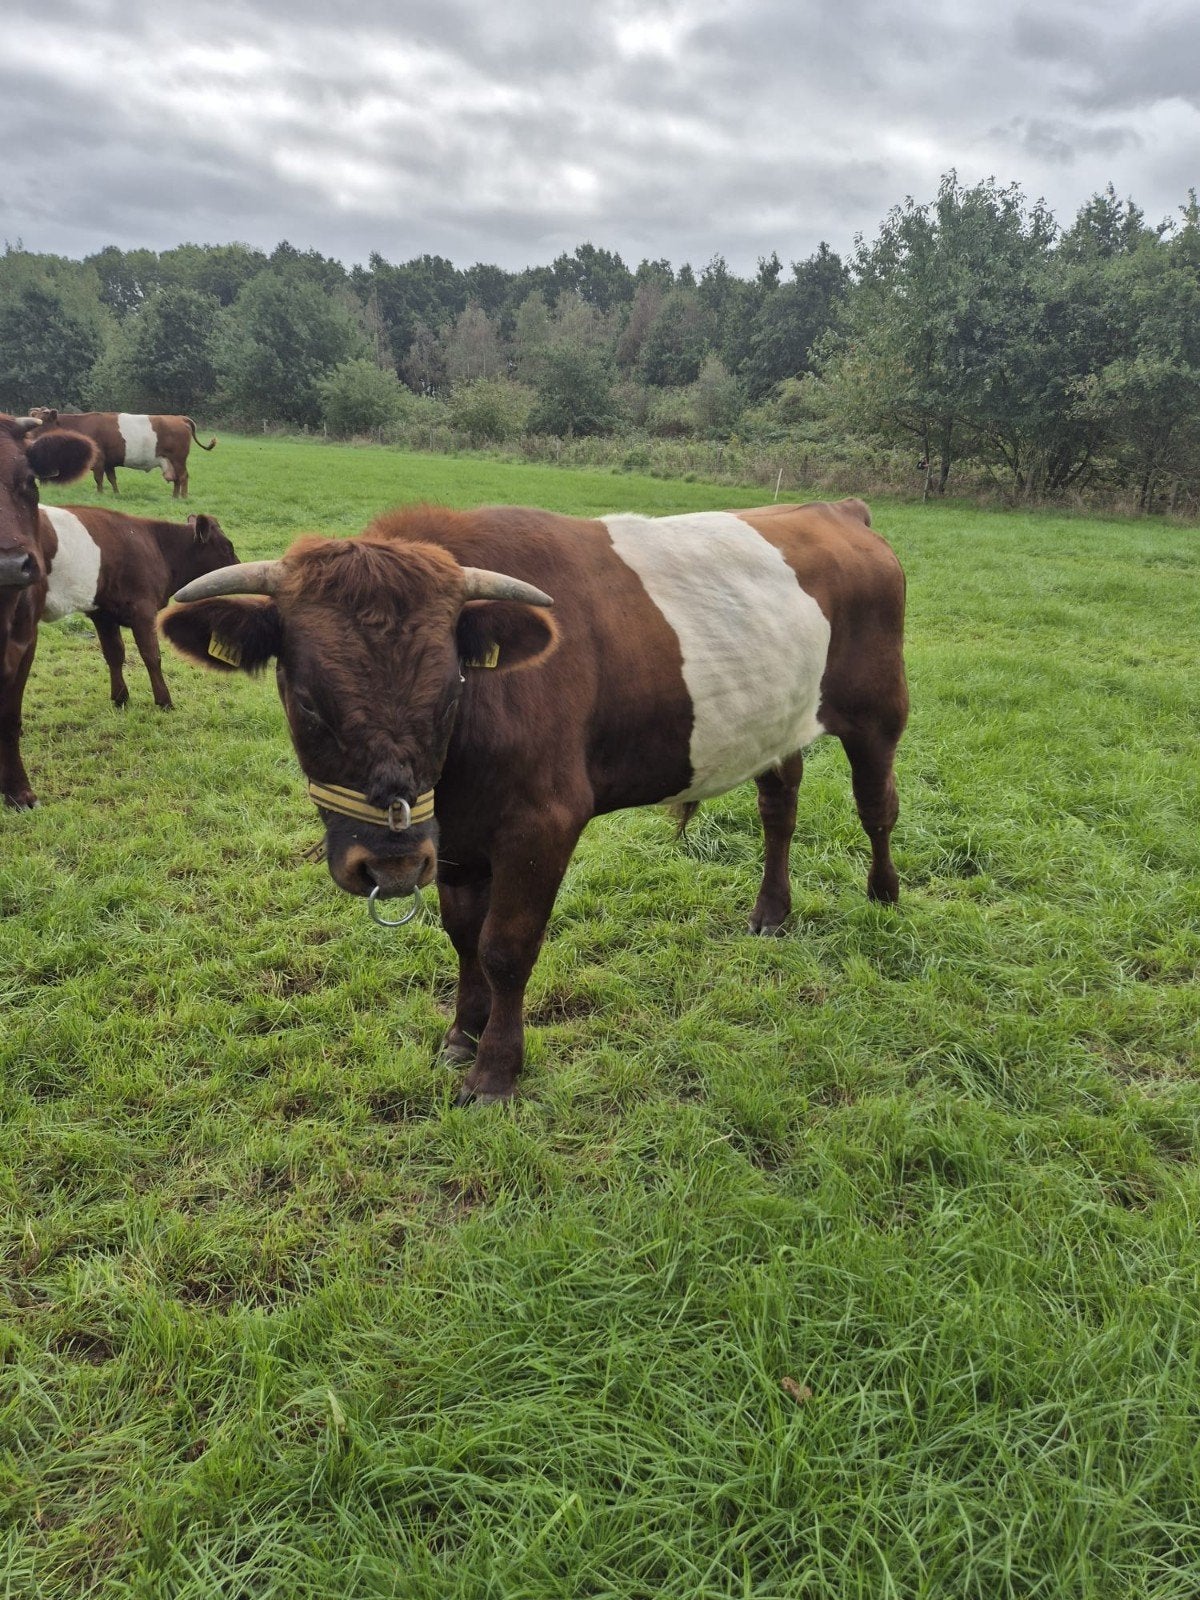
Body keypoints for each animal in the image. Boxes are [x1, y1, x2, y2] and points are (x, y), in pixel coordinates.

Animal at [29, 409, 217, 499]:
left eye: (42, 422)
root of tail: (180, 418)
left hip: (178, 459)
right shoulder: (108, 462)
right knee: (177, 479)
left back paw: (182, 497)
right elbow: (112, 478)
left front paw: (99, 494)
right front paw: (116, 494)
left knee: (183, 477)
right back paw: (175, 496)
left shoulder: (98, 460)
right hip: (171, 462)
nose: (28, 436)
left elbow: (99, 479)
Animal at [39, 505, 239, 709]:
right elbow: (151, 655)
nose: (238, 566)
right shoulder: (142, 610)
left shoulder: (104, 614)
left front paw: (120, 698)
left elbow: (114, 654)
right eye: (227, 547)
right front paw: (164, 701)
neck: (160, 549)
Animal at [161, 498, 908, 1103]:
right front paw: (461, 1035)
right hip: (776, 722)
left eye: (450, 692)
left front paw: (495, 1070)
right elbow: (463, 936)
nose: (389, 867)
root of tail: (838, 508)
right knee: (779, 807)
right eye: (307, 701)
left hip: (880, 711)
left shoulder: (543, 822)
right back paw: (771, 913)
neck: (458, 768)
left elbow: (506, 946)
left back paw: (884, 896)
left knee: (877, 807)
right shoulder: (453, 838)